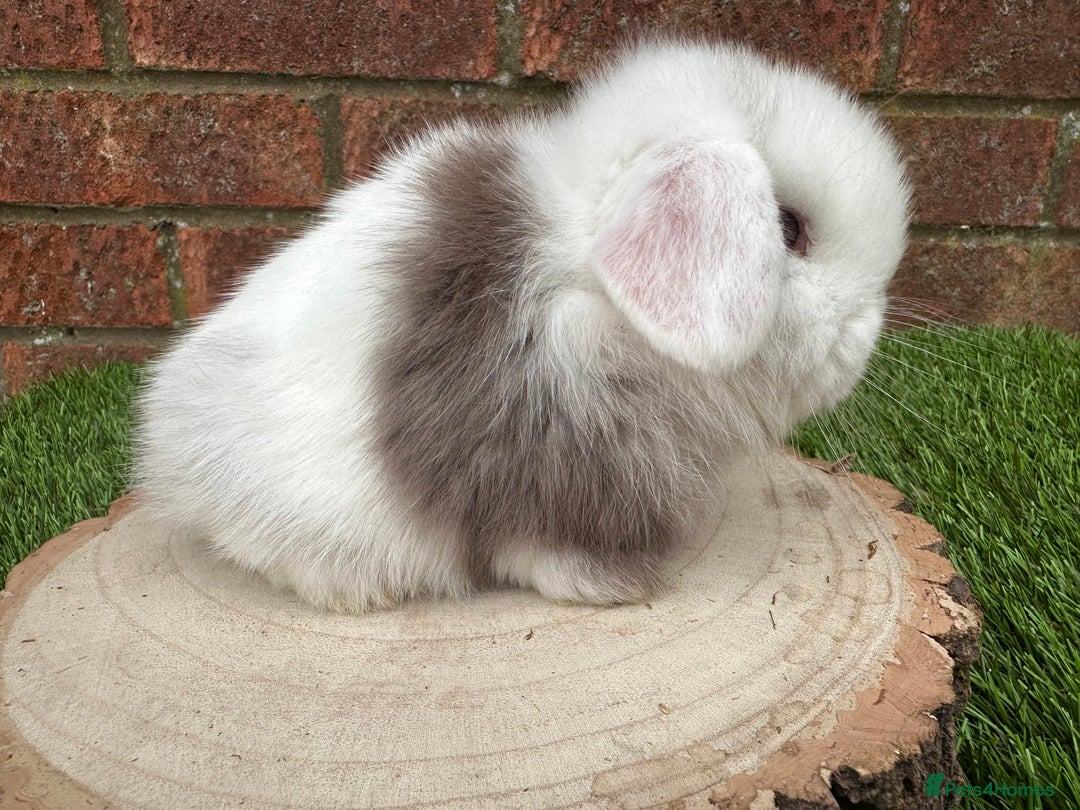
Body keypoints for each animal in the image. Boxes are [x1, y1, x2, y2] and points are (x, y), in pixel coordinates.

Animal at [134, 39, 911, 613]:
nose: (865, 333)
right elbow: (535, 546)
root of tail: (166, 445)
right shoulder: (534, 455)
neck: (591, 291)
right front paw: (616, 585)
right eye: (789, 229)